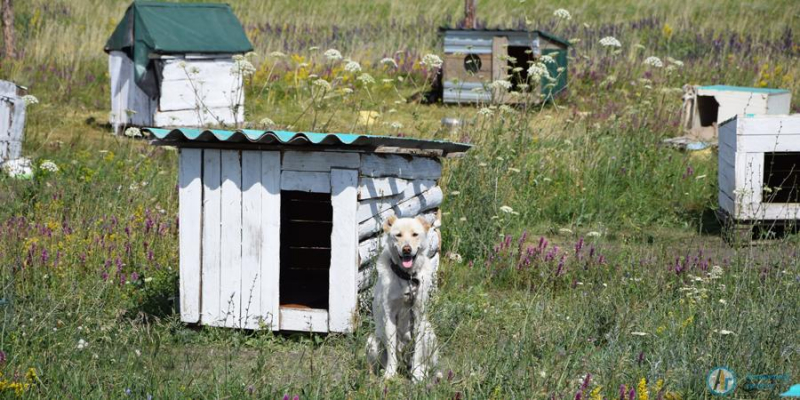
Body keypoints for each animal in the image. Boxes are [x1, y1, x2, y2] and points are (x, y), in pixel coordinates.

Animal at [368, 216, 438, 382]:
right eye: (398, 235)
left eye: (415, 234)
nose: (406, 249)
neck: (407, 278)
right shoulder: (389, 316)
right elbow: (391, 350)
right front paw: (389, 374)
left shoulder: (418, 316)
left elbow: (417, 351)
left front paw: (417, 374)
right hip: (373, 340)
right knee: (376, 365)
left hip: (429, 334)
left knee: (426, 361)